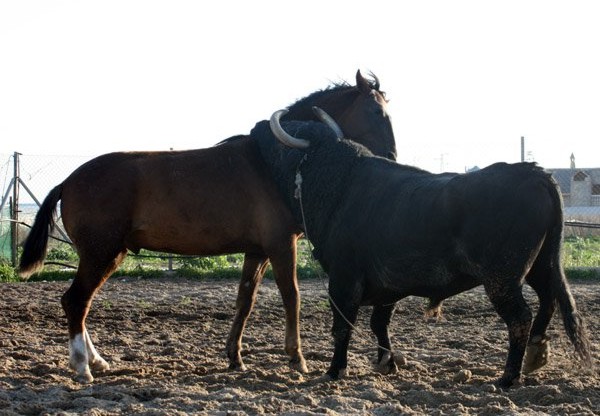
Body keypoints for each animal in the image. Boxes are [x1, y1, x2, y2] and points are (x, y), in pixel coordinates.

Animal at [18, 70, 396, 382]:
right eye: (377, 112)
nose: (392, 158)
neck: (275, 160)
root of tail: (69, 180)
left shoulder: (256, 251)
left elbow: (245, 300)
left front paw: (235, 357)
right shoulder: (281, 245)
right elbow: (292, 297)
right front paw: (296, 358)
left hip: (107, 255)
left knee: (81, 303)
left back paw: (96, 361)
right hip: (101, 254)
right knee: (75, 301)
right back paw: (83, 367)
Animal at [252, 112, 592, 388]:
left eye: (291, 133)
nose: (257, 126)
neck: (341, 185)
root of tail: (534, 172)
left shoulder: (344, 280)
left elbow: (343, 326)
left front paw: (335, 370)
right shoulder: (387, 285)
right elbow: (379, 323)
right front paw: (386, 362)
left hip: (503, 278)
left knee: (521, 317)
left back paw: (509, 376)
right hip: (540, 266)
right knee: (548, 300)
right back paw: (536, 354)